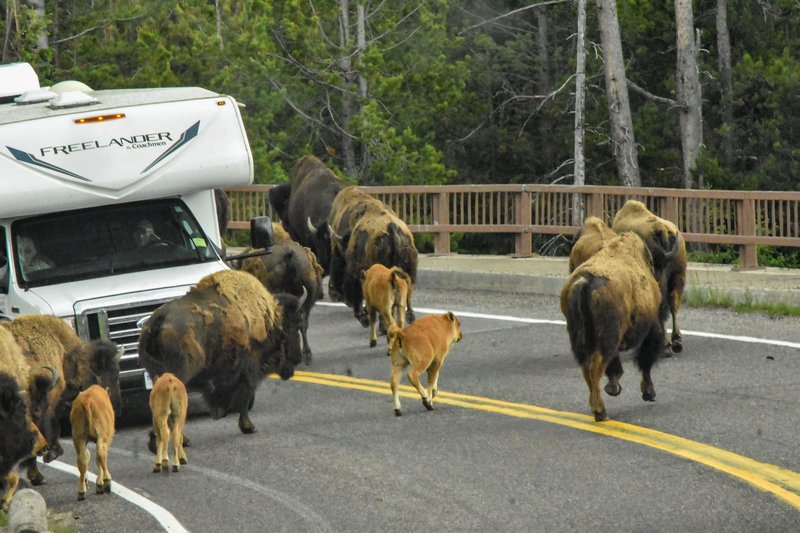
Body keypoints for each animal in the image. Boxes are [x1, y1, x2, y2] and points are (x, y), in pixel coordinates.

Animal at [136, 268, 304, 434]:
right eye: (296, 325)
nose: (298, 358)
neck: (271, 319)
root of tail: (158, 322)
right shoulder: (251, 367)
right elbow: (246, 393)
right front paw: (248, 426)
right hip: (179, 373)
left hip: (155, 373)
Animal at [612, 200, 688, 354]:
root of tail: (662, 229)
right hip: (678, 276)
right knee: (673, 305)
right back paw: (675, 342)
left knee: (662, 308)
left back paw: (666, 345)